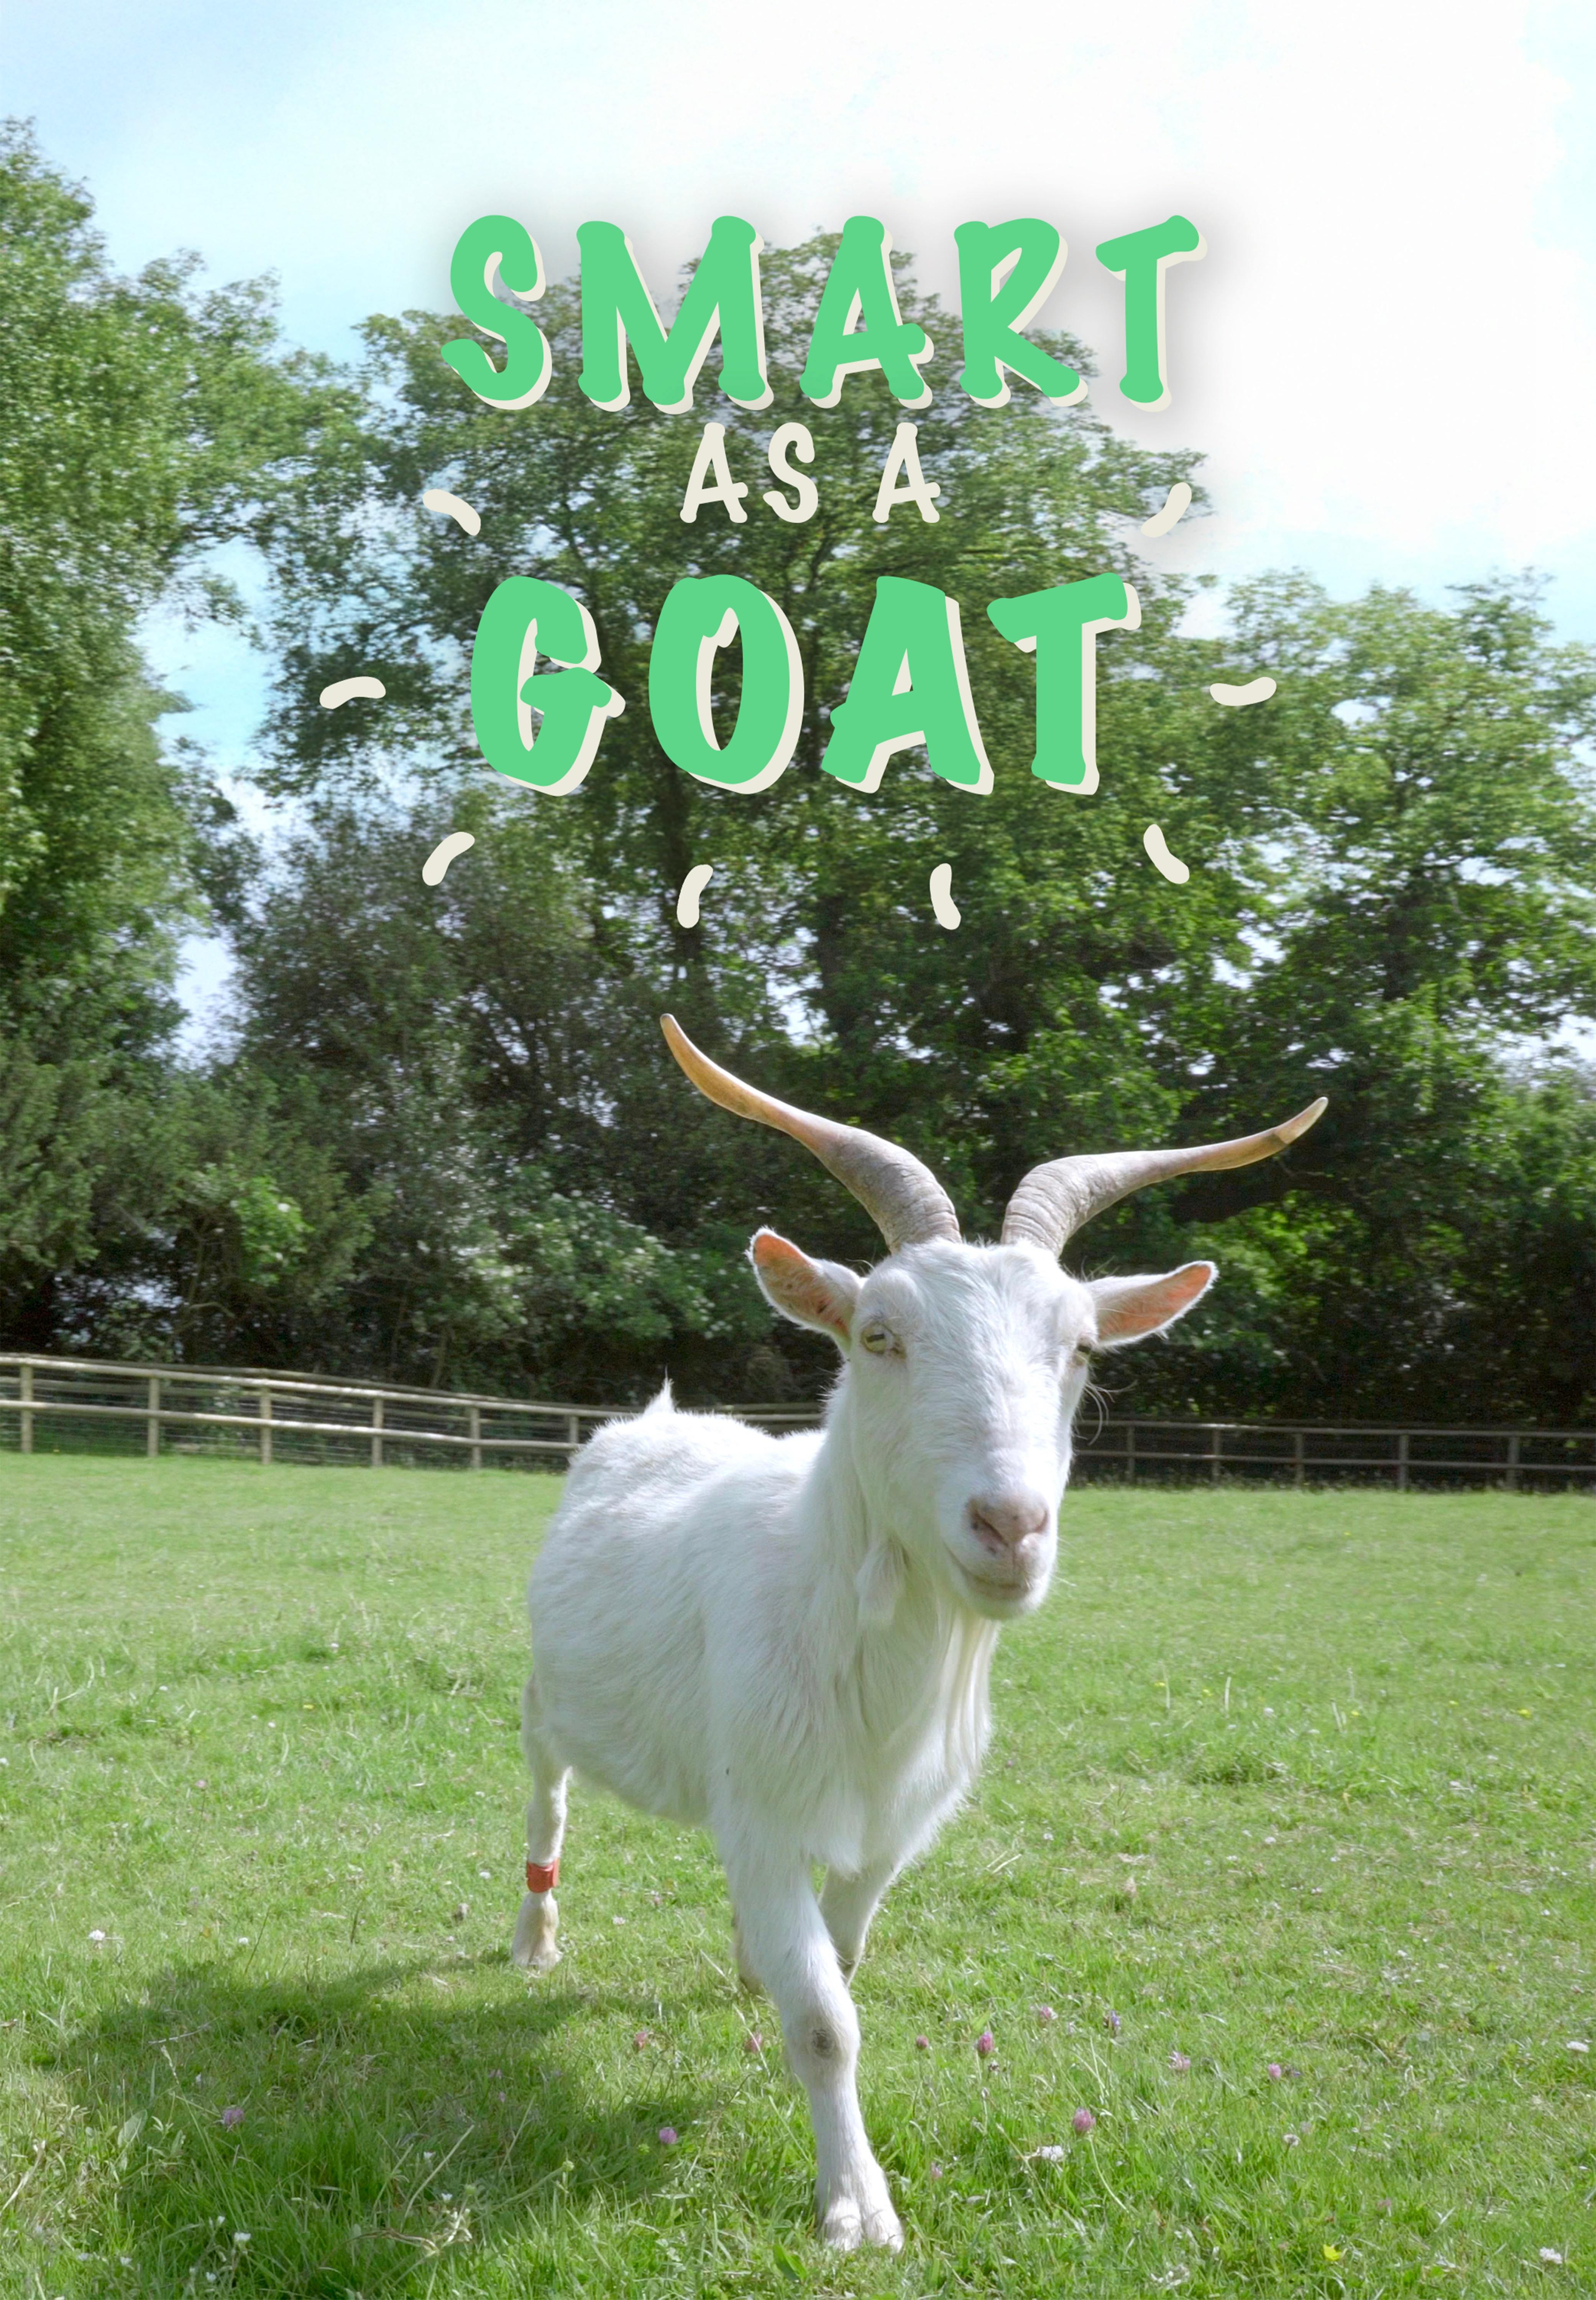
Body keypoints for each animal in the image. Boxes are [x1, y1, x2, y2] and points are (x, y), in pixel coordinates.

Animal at [512, 1016, 1324, 2249]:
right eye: (879, 1333)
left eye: (1082, 1350)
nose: (1009, 1526)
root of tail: (652, 1417)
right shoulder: (757, 1808)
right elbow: (824, 2019)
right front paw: (857, 2208)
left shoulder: (893, 1828)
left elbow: (836, 1967)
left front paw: (777, 2007)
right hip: (544, 1704)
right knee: (547, 1798)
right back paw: (532, 1937)